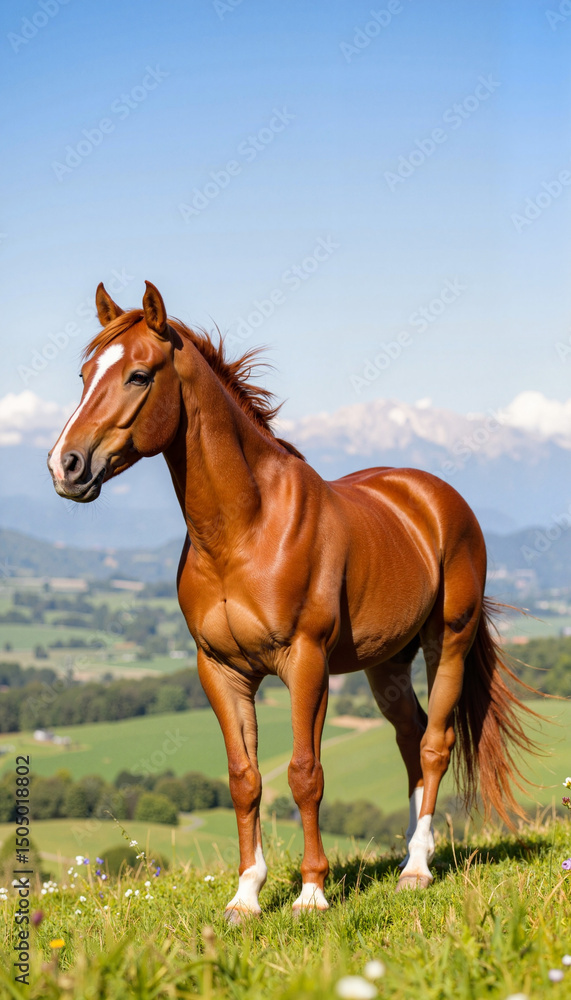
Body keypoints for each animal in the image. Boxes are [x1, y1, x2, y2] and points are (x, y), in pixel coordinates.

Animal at [47, 281, 538, 919]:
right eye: (84, 375)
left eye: (138, 375)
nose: (65, 464)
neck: (244, 531)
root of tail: (433, 496)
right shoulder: (221, 669)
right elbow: (244, 778)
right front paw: (246, 896)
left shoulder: (306, 662)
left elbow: (306, 773)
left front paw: (311, 892)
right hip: (386, 663)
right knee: (409, 738)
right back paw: (413, 849)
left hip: (447, 642)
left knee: (435, 744)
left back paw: (417, 870)